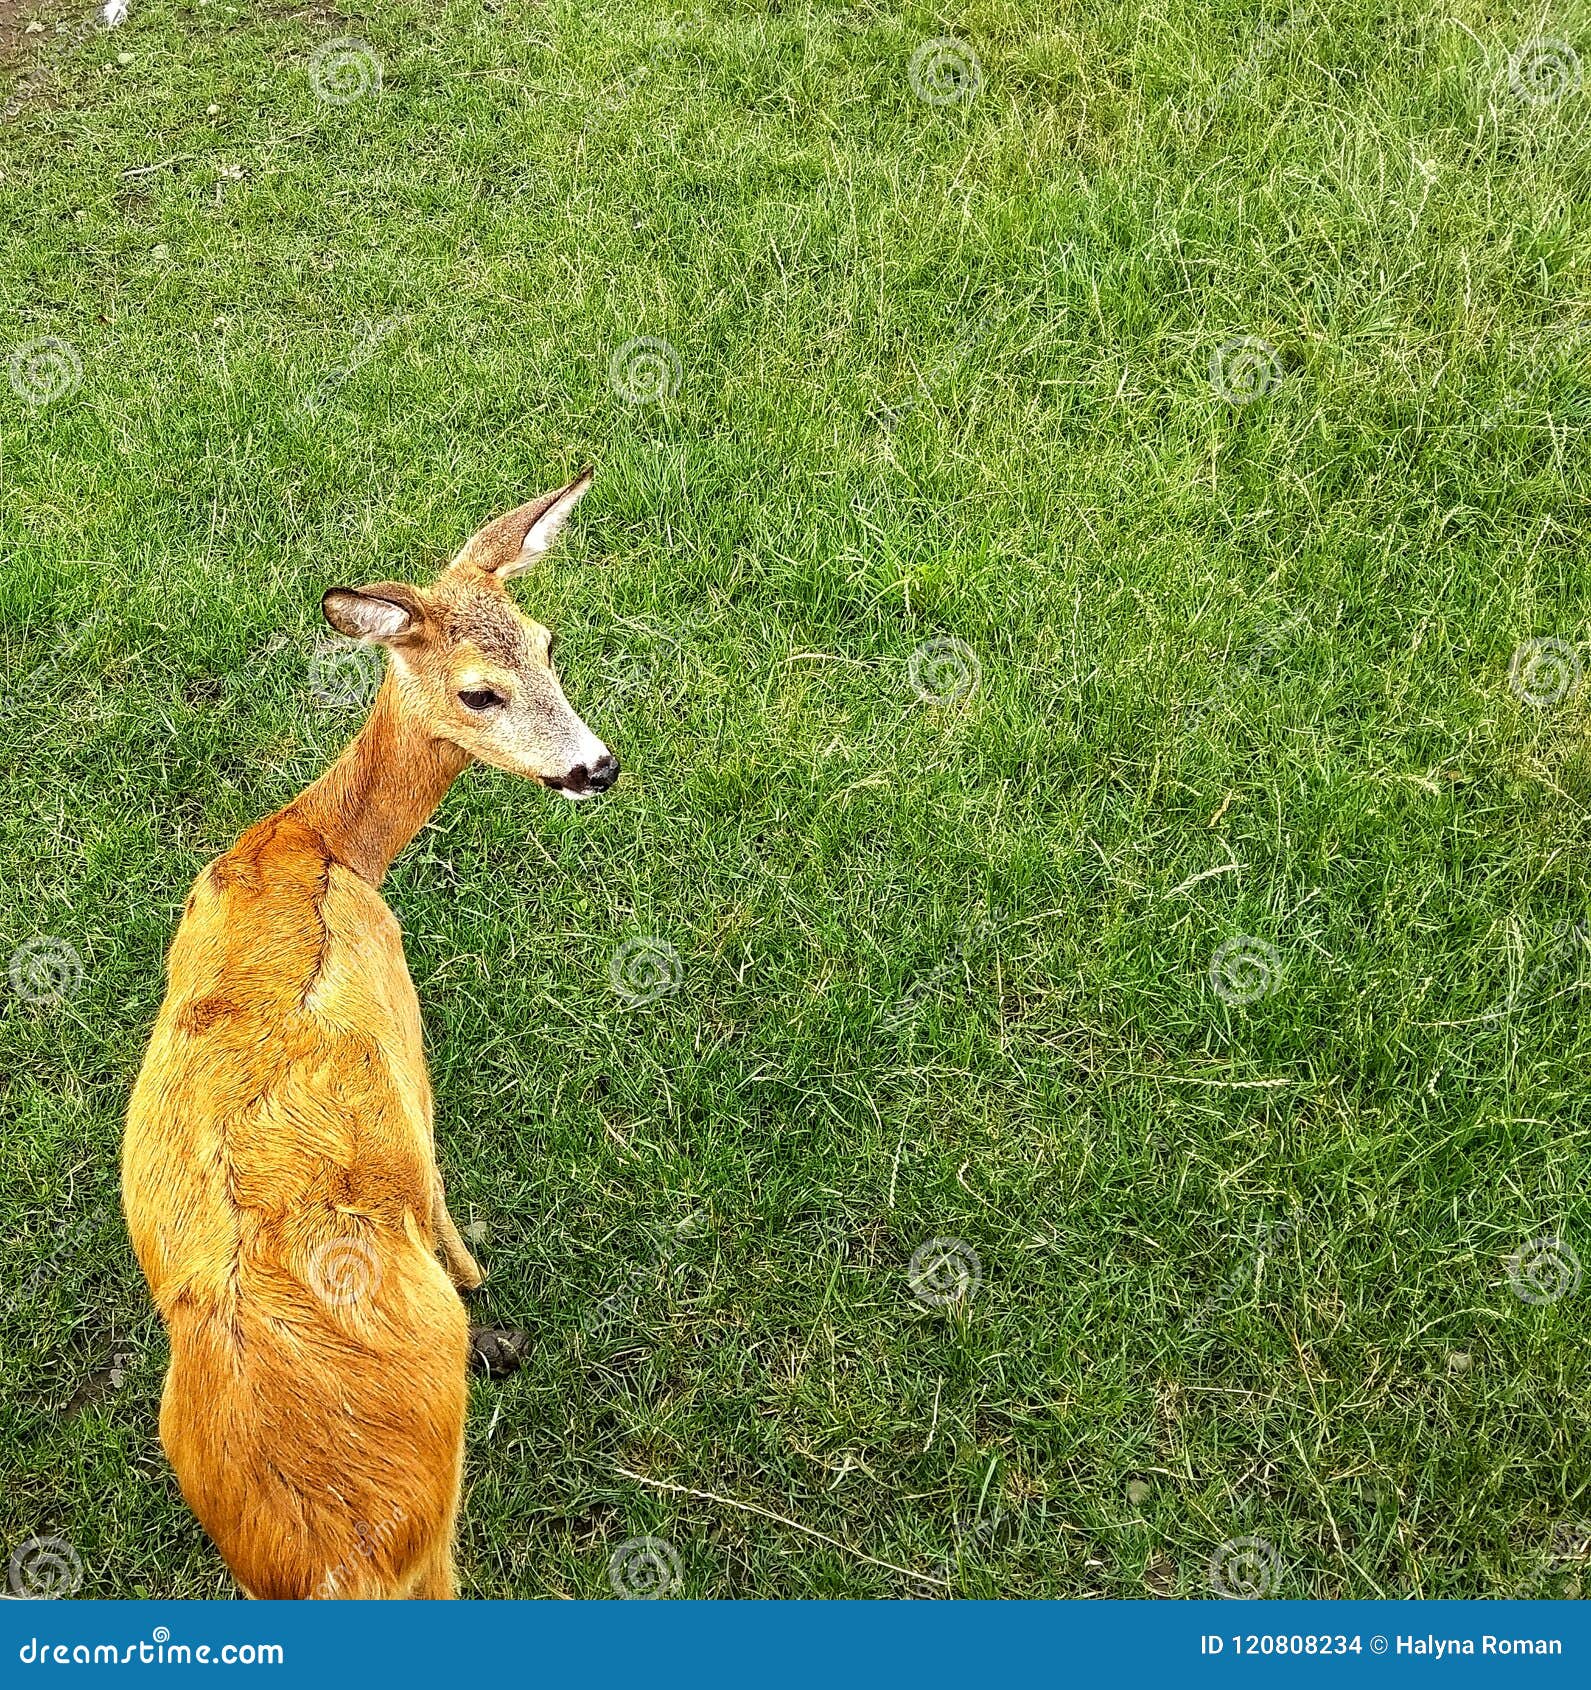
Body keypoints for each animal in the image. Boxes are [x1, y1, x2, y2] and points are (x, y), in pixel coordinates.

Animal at [118, 473, 612, 1595]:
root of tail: (335, 1557)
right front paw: (482, 1276)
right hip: (432, 1528)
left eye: (548, 641)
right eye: (478, 692)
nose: (596, 767)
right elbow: (440, 1192)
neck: (319, 844)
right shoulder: (406, 1032)